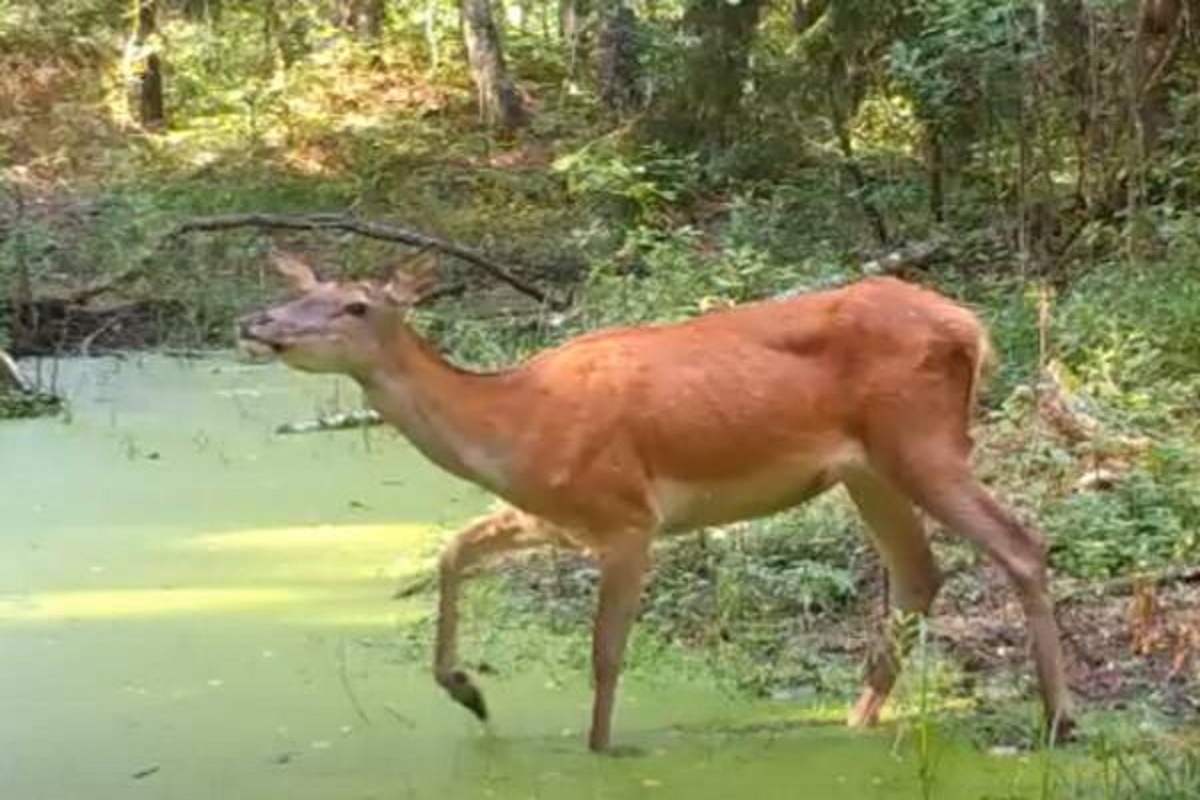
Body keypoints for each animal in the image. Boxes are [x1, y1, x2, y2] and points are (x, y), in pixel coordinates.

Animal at [238, 248, 1075, 753]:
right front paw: (468, 692)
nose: (257, 321)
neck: (515, 424)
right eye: (302, 291)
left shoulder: (627, 515)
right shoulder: (552, 514)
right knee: (918, 573)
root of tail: (972, 326)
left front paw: (599, 748)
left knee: (1020, 542)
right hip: (866, 470)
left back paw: (1057, 718)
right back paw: (855, 719)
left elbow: (606, 651)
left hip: (919, 441)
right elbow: (452, 550)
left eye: (355, 305)